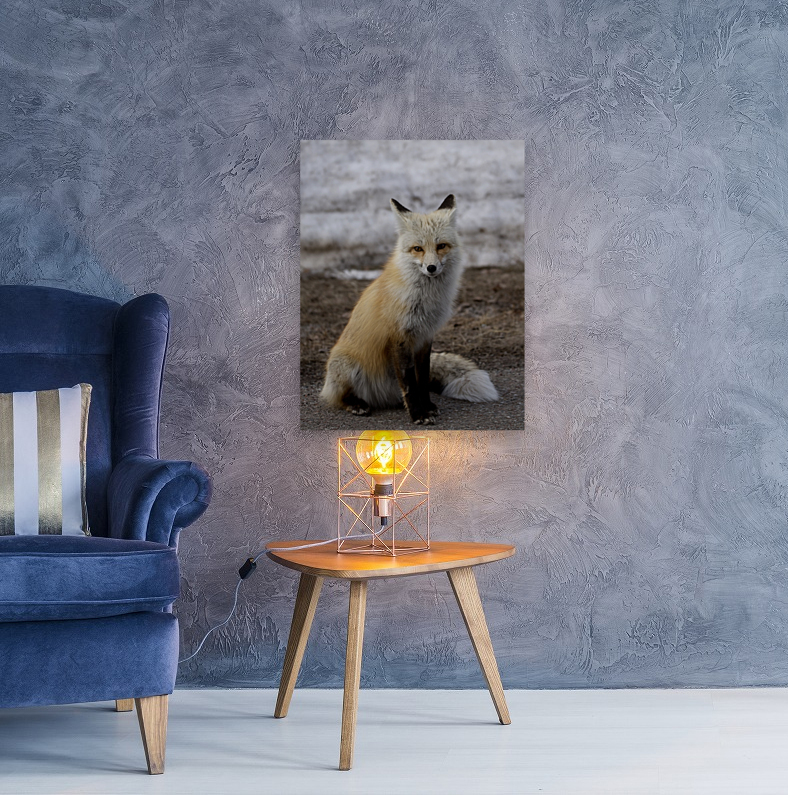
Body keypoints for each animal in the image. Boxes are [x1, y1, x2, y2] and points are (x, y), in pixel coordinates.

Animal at [319, 194, 498, 425]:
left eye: (441, 246)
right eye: (418, 249)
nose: (431, 268)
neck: (425, 300)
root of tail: (379, 397)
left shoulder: (425, 337)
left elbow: (421, 379)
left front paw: (427, 407)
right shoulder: (400, 337)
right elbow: (409, 384)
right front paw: (418, 414)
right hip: (347, 366)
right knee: (338, 397)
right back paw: (356, 404)